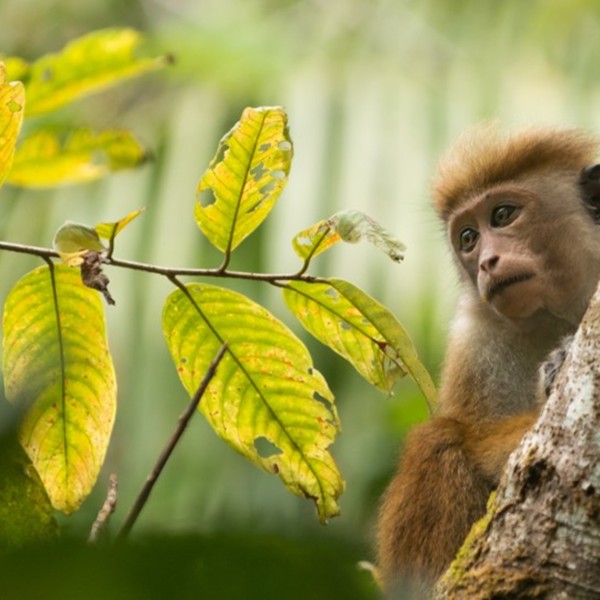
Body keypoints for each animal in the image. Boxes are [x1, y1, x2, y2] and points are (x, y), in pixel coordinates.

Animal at [378, 126, 600, 596]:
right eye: (468, 238)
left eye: (502, 215)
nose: (485, 262)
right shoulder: (474, 339)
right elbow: (484, 445)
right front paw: (556, 366)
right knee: (439, 439)